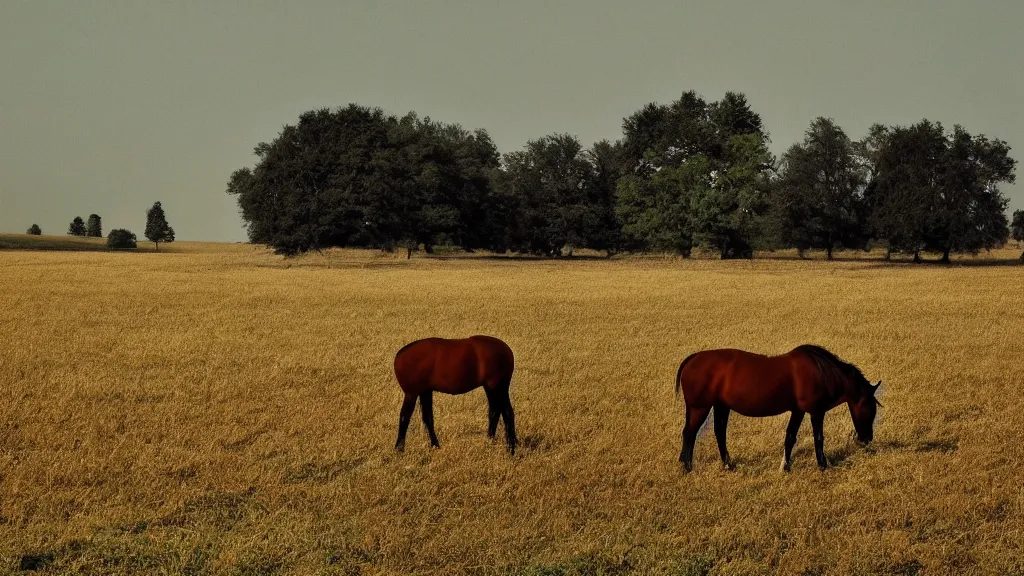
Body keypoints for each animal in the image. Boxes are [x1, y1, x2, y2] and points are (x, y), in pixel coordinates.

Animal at [675, 342, 884, 469]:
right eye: (870, 409)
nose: (867, 439)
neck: (822, 372)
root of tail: (693, 359)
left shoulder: (798, 411)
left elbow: (790, 437)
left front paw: (785, 466)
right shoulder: (816, 412)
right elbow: (818, 438)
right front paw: (822, 465)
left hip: (720, 406)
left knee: (718, 433)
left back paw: (727, 464)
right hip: (700, 408)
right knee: (690, 433)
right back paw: (687, 466)